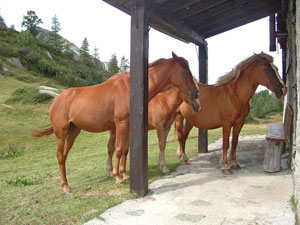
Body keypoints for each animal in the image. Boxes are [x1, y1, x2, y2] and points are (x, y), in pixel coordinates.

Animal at [33, 52, 199, 193]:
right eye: (185, 72)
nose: (196, 94)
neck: (131, 89)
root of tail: (58, 100)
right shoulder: (121, 124)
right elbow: (119, 149)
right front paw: (118, 177)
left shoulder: (128, 126)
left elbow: (124, 150)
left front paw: (124, 174)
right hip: (61, 133)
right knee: (60, 156)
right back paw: (66, 187)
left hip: (73, 131)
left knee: (65, 155)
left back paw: (67, 184)